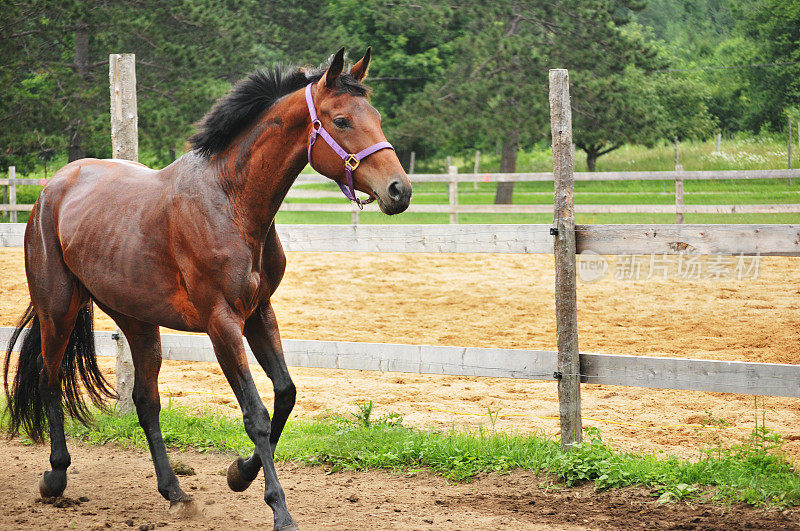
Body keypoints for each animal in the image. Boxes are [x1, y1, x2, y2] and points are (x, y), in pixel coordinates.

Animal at [1, 47, 412, 528]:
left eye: (377, 116)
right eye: (343, 120)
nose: (399, 190)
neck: (230, 202)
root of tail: (52, 188)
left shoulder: (258, 314)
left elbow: (285, 394)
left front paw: (239, 473)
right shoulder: (222, 324)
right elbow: (255, 414)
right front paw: (279, 509)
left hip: (136, 320)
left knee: (146, 401)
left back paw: (175, 493)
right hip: (58, 308)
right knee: (49, 379)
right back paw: (55, 478)